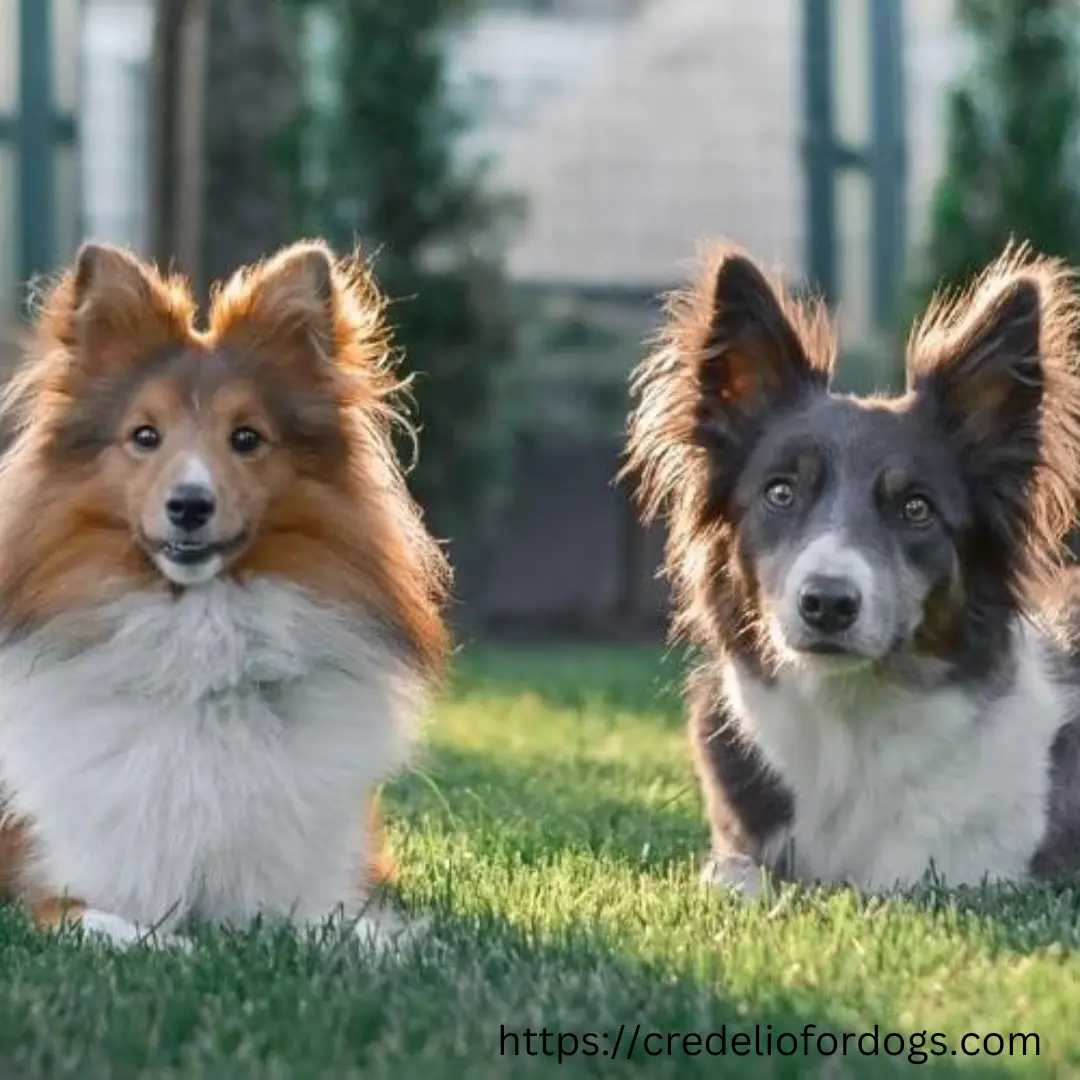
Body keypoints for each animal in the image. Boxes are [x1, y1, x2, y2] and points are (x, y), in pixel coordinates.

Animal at [0, 238, 449, 946]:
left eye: (247, 438)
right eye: (144, 435)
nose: (189, 505)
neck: (202, 652)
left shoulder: (316, 887)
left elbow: (338, 932)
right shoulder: (53, 890)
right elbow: (136, 931)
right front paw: (181, 947)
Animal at [622, 243, 1080, 894]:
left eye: (916, 508)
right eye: (781, 492)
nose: (828, 604)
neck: (850, 722)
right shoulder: (735, 851)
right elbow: (738, 876)